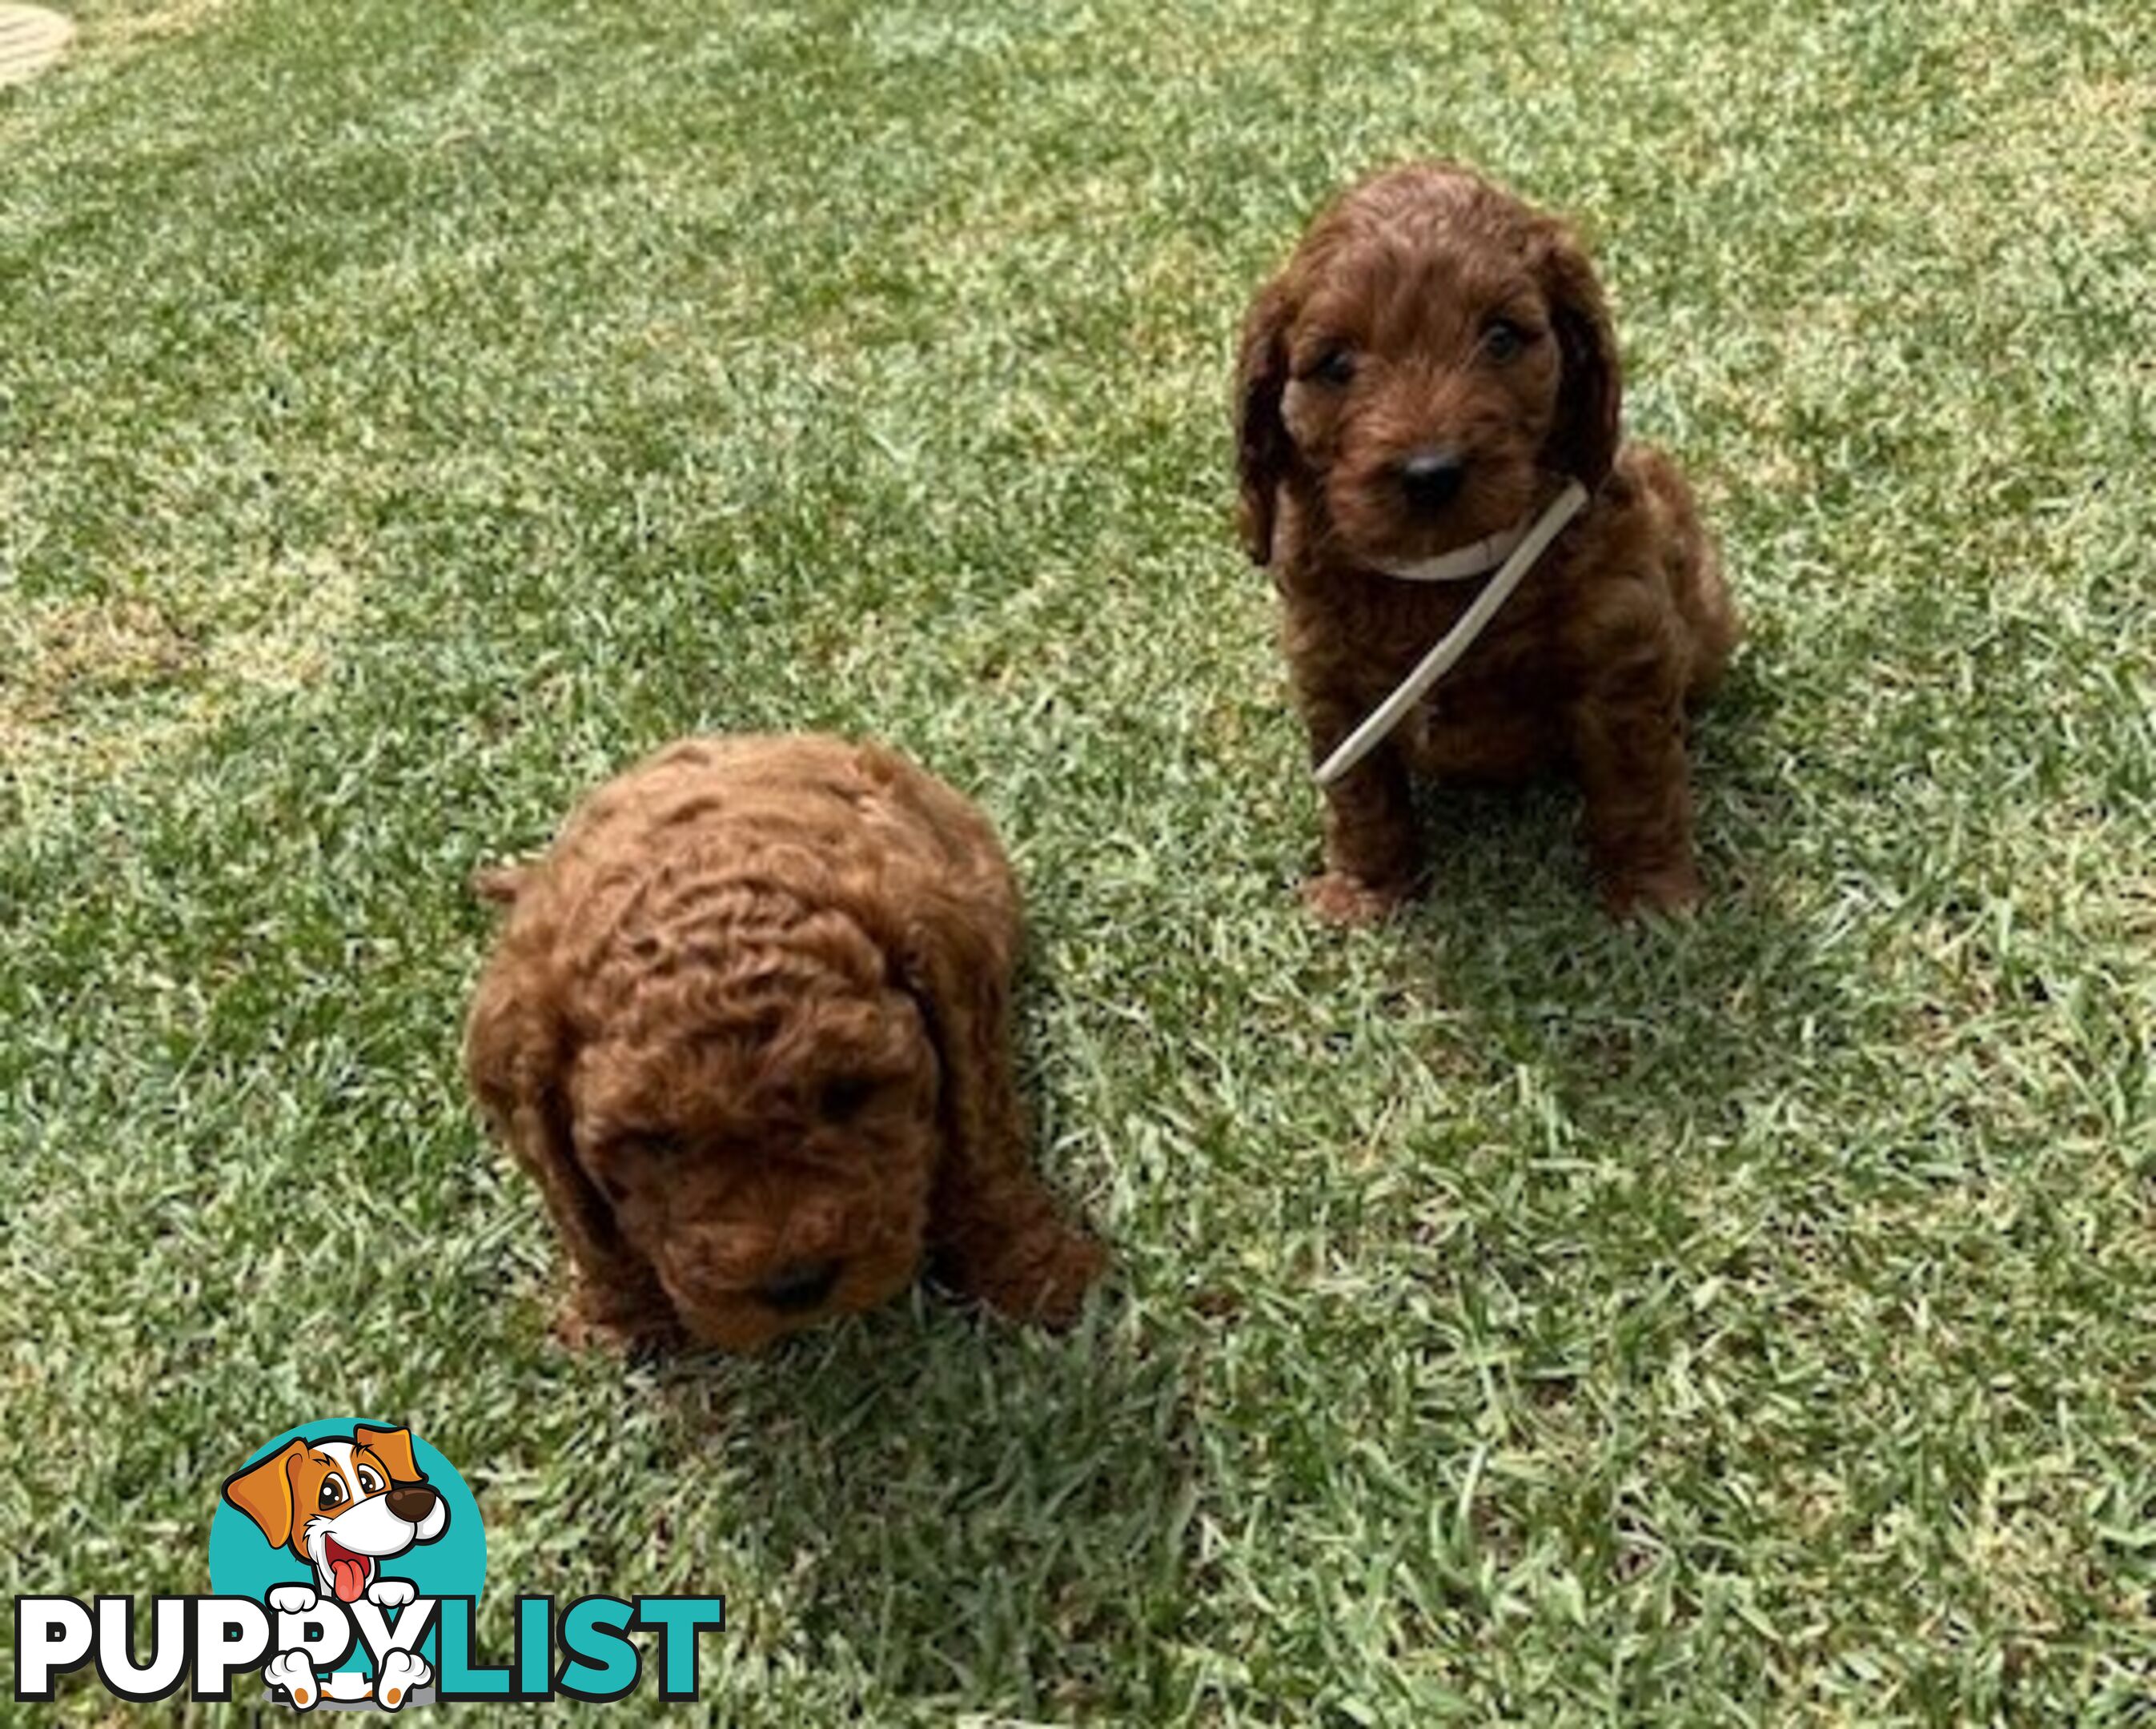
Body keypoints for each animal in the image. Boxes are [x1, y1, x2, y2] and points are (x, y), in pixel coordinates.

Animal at [472, 732, 1112, 1354]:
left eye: (849, 1092)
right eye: (656, 1141)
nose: (796, 1285)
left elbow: (983, 1153)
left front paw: (1042, 1274)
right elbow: (583, 1223)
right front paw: (620, 1319)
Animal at [1233, 154, 1733, 922]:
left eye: (1500, 337)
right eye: (1336, 365)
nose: (1430, 474)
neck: (1442, 573)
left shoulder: (1624, 650)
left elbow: (1637, 786)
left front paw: (1652, 898)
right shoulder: (1328, 674)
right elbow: (1360, 797)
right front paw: (1366, 892)